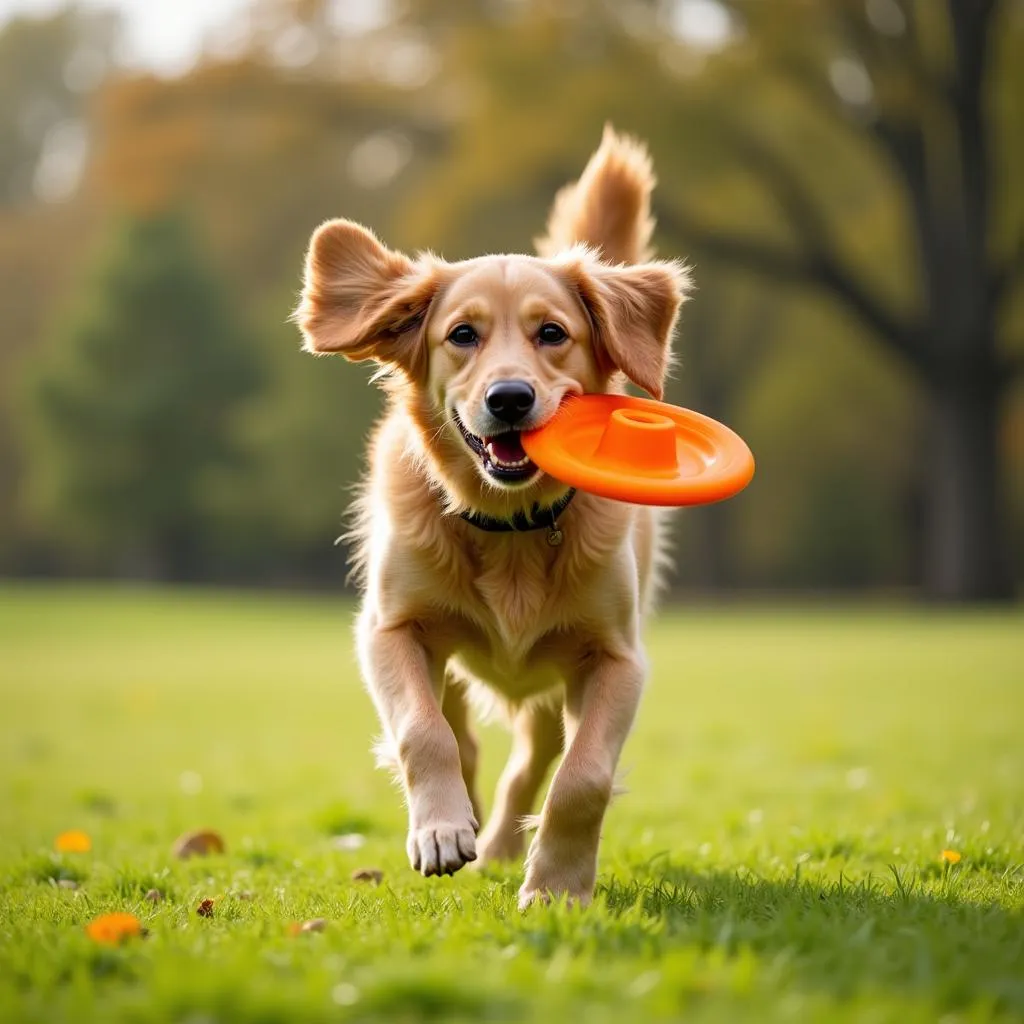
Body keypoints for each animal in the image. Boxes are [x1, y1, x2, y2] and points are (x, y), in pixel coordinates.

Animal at [296, 128, 696, 905]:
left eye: (552, 333)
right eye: (462, 335)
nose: (509, 398)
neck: (511, 525)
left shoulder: (616, 658)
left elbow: (583, 777)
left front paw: (558, 887)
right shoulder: (391, 629)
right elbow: (423, 734)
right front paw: (441, 831)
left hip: (549, 687)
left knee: (533, 762)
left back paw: (507, 843)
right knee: (463, 737)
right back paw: (469, 828)